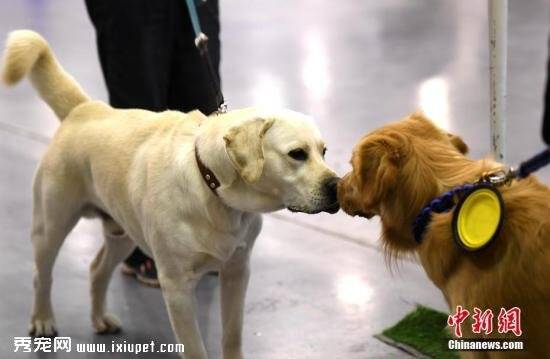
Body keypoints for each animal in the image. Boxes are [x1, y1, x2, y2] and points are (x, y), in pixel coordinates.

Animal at [2, 31, 340, 359]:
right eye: (297, 154)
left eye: (323, 151)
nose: (337, 186)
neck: (212, 185)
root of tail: (84, 109)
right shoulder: (176, 286)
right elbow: (195, 349)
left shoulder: (237, 271)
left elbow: (232, 336)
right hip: (51, 226)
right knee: (42, 276)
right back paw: (43, 320)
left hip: (124, 232)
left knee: (97, 269)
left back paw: (99, 318)